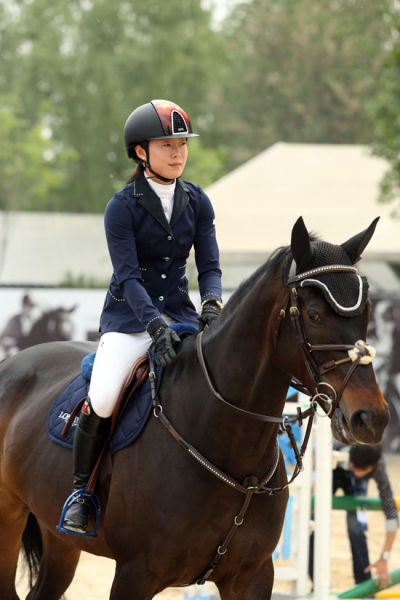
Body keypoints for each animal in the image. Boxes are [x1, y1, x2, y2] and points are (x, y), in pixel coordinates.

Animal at [0, 217, 388, 600]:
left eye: (366, 312)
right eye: (314, 315)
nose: (371, 418)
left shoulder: (253, 576)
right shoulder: (134, 574)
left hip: (59, 537)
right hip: (11, 518)